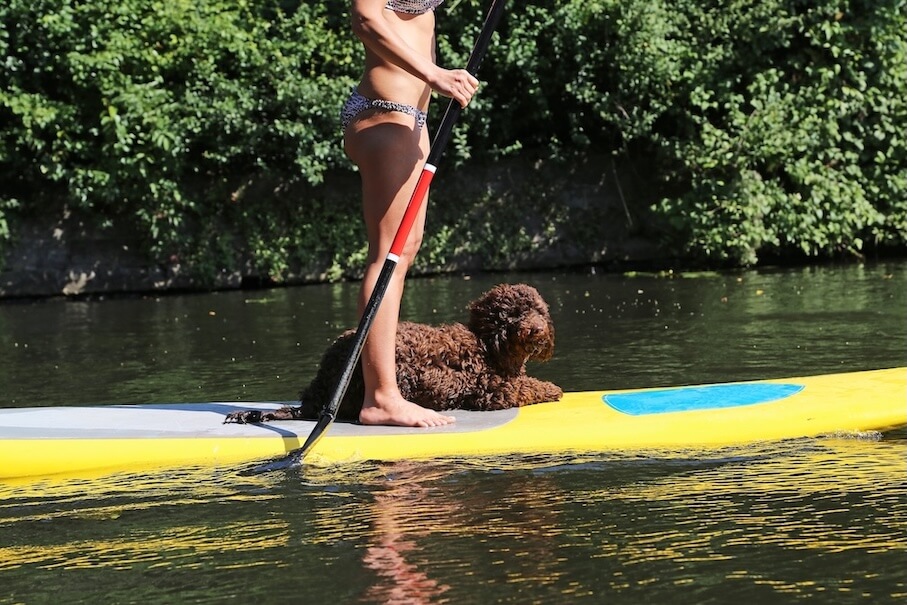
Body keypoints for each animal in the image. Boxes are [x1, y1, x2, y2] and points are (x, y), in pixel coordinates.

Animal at [223, 284, 560, 424]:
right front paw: (552, 388)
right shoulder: (492, 391)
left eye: (538, 311)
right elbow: (529, 387)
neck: (488, 345)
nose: (536, 329)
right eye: (514, 314)